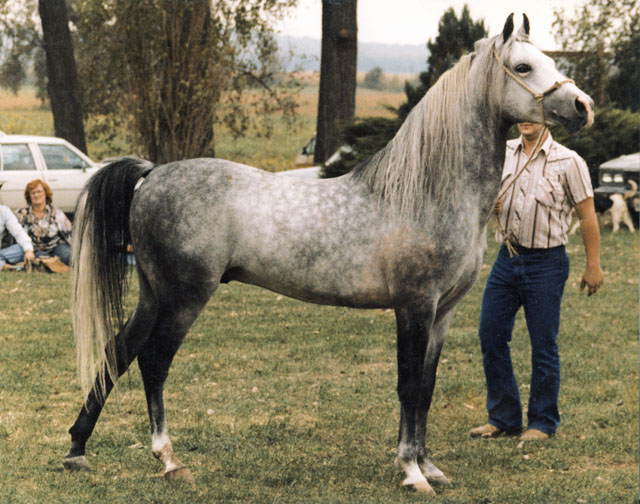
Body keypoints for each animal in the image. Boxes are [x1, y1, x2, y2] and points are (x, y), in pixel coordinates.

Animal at [63, 14, 594, 494]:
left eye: (550, 60)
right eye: (523, 66)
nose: (582, 106)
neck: (424, 192)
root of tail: (152, 173)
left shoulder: (442, 313)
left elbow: (425, 388)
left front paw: (431, 467)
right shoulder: (414, 307)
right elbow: (407, 386)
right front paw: (412, 472)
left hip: (153, 295)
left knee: (116, 353)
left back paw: (76, 450)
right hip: (183, 298)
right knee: (153, 363)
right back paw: (169, 460)